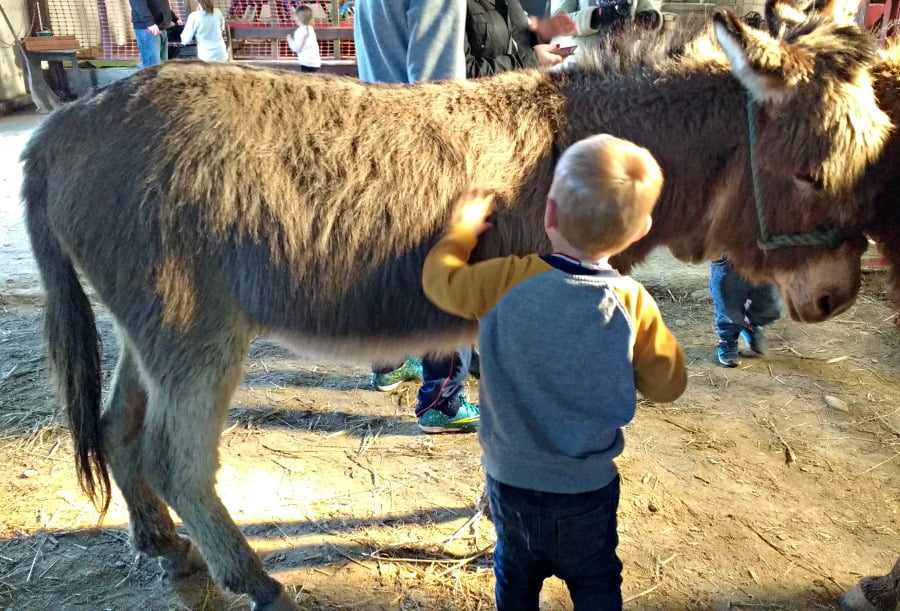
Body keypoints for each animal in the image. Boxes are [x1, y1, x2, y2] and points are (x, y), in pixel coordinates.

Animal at [21, 6, 891, 609]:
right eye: (813, 174)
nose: (837, 296)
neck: (579, 136)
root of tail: (64, 126)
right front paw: (497, 524)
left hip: (150, 326)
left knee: (118, 427)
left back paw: (161, 541)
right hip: (196, 330)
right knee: (176, 455)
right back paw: (253, 578)